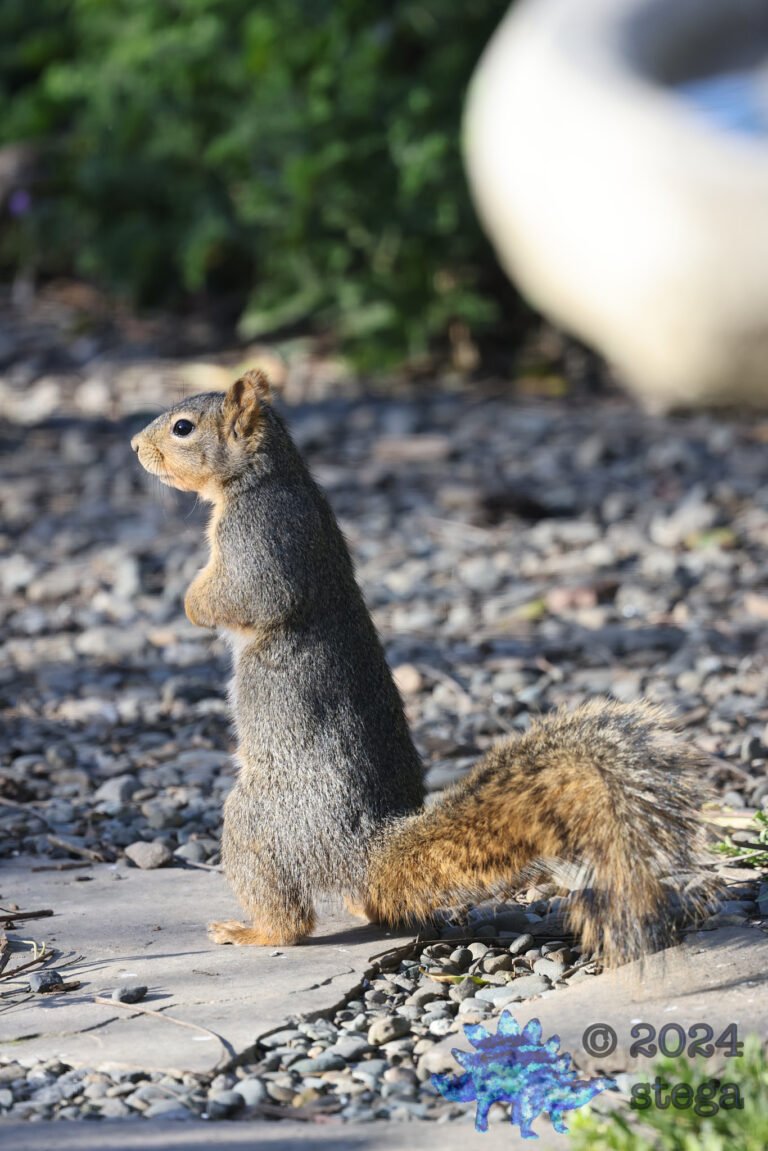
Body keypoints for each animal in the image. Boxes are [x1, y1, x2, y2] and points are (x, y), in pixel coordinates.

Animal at [131, 369, 711, 966]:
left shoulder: (259, 538)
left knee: (290, 920)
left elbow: (248, 597)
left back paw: (250, 931)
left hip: (256, 824)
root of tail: (364, 849)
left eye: (182, 428)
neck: (265, 475)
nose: (134, 447)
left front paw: (189, 604)